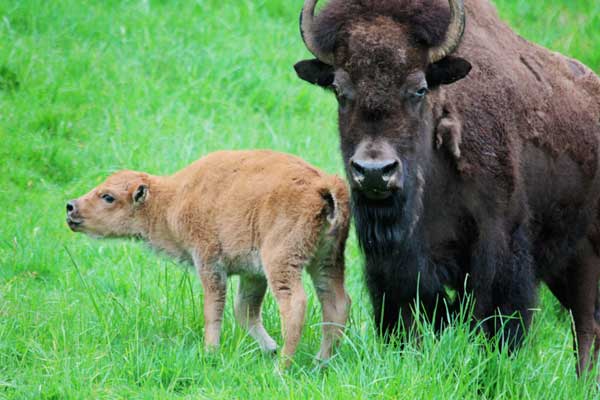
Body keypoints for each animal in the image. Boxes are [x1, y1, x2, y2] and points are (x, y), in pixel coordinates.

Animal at [294, 0, 600, 375]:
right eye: (339, 90)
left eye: (419, 88)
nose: (375, 172)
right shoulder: (397, 268)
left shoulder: (500, 251)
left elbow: (496, 324)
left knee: (585, 327)